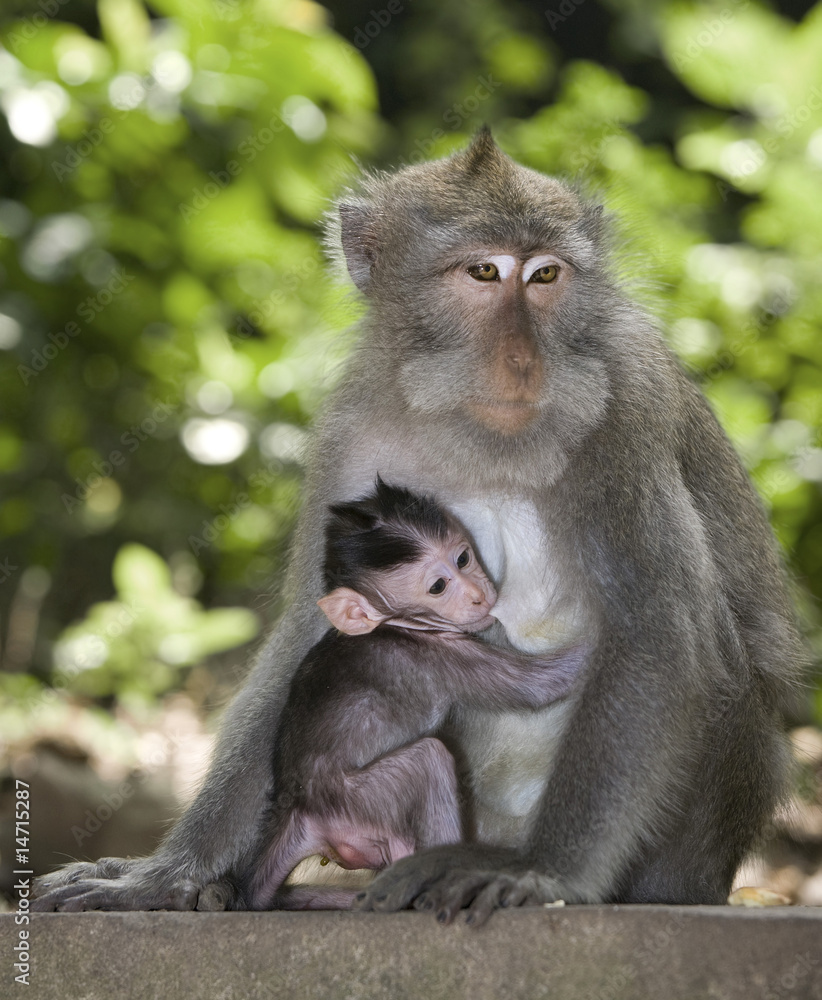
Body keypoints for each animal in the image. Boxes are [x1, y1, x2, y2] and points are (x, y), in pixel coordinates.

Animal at [245, 480, 584, 912]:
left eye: (463, 558)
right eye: (438, 586)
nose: (478, 594)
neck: (397, 625)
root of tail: (297, 806)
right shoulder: (440, 655)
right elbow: (542, 684)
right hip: (359, 799)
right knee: (429, 760)